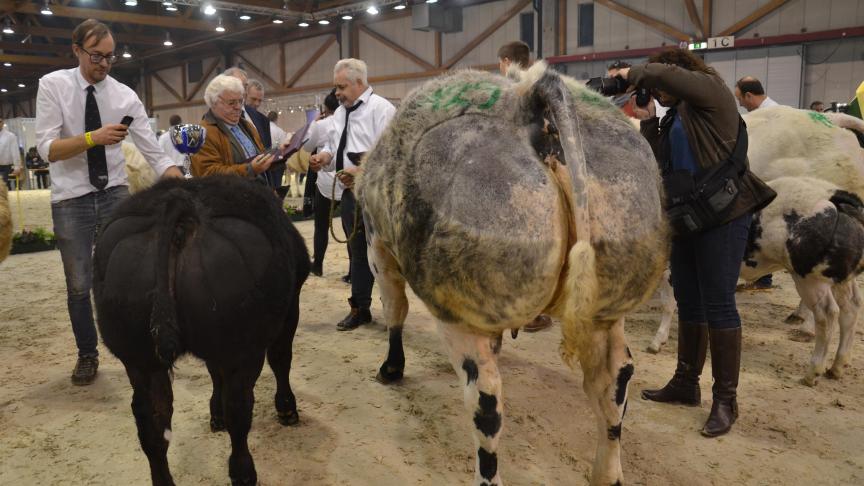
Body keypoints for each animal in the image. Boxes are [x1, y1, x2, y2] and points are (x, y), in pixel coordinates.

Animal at [93, 175, 309, 486]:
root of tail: (180, 206)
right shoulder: (291, 306)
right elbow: (281, 359)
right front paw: (287, 409)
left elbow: (213, 372)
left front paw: (215, 416)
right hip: (241, 345)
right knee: (239, 409)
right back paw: (244, 473)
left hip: (138, 355)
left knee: (151, 421)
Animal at [357, 63, 668, 485]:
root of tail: (528, 97)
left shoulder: (379, 249)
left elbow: (394, 310)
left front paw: (391, 369)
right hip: (607, 306)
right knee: (614, 381)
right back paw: (606, 472)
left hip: (462, 314)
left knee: (486, 402)